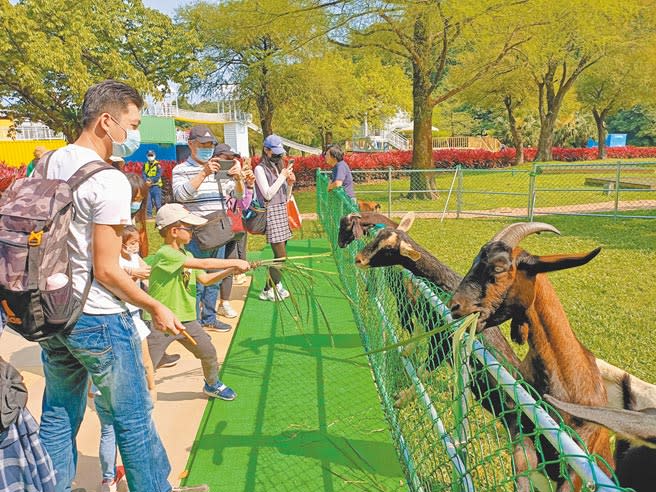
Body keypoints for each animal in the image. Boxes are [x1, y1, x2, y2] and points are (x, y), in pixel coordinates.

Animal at [452, 224, 616, 492]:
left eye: (499, 268)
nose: (455, 305)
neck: (567, 380)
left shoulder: (577, 463)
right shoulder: (523, 429)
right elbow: (522, 470)